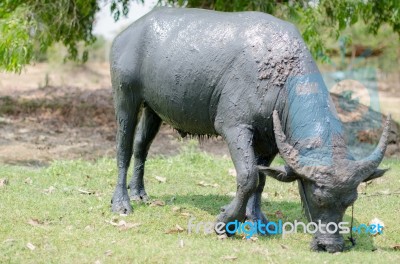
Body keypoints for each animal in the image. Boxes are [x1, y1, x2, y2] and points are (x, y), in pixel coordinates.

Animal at [109, 7, 390, 253]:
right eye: (317, 197)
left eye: (350, 201)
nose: (330, 246)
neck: (279, 76)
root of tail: (124, 36)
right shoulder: (234, 127)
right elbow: (248, 176)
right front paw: (226, 222)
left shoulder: (271, 140)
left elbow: (262, 180)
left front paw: (258, 220)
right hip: (125, 97)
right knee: (123, 148)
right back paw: (122, 203)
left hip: (153, 109)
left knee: (141, 146)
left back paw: (140, 193)